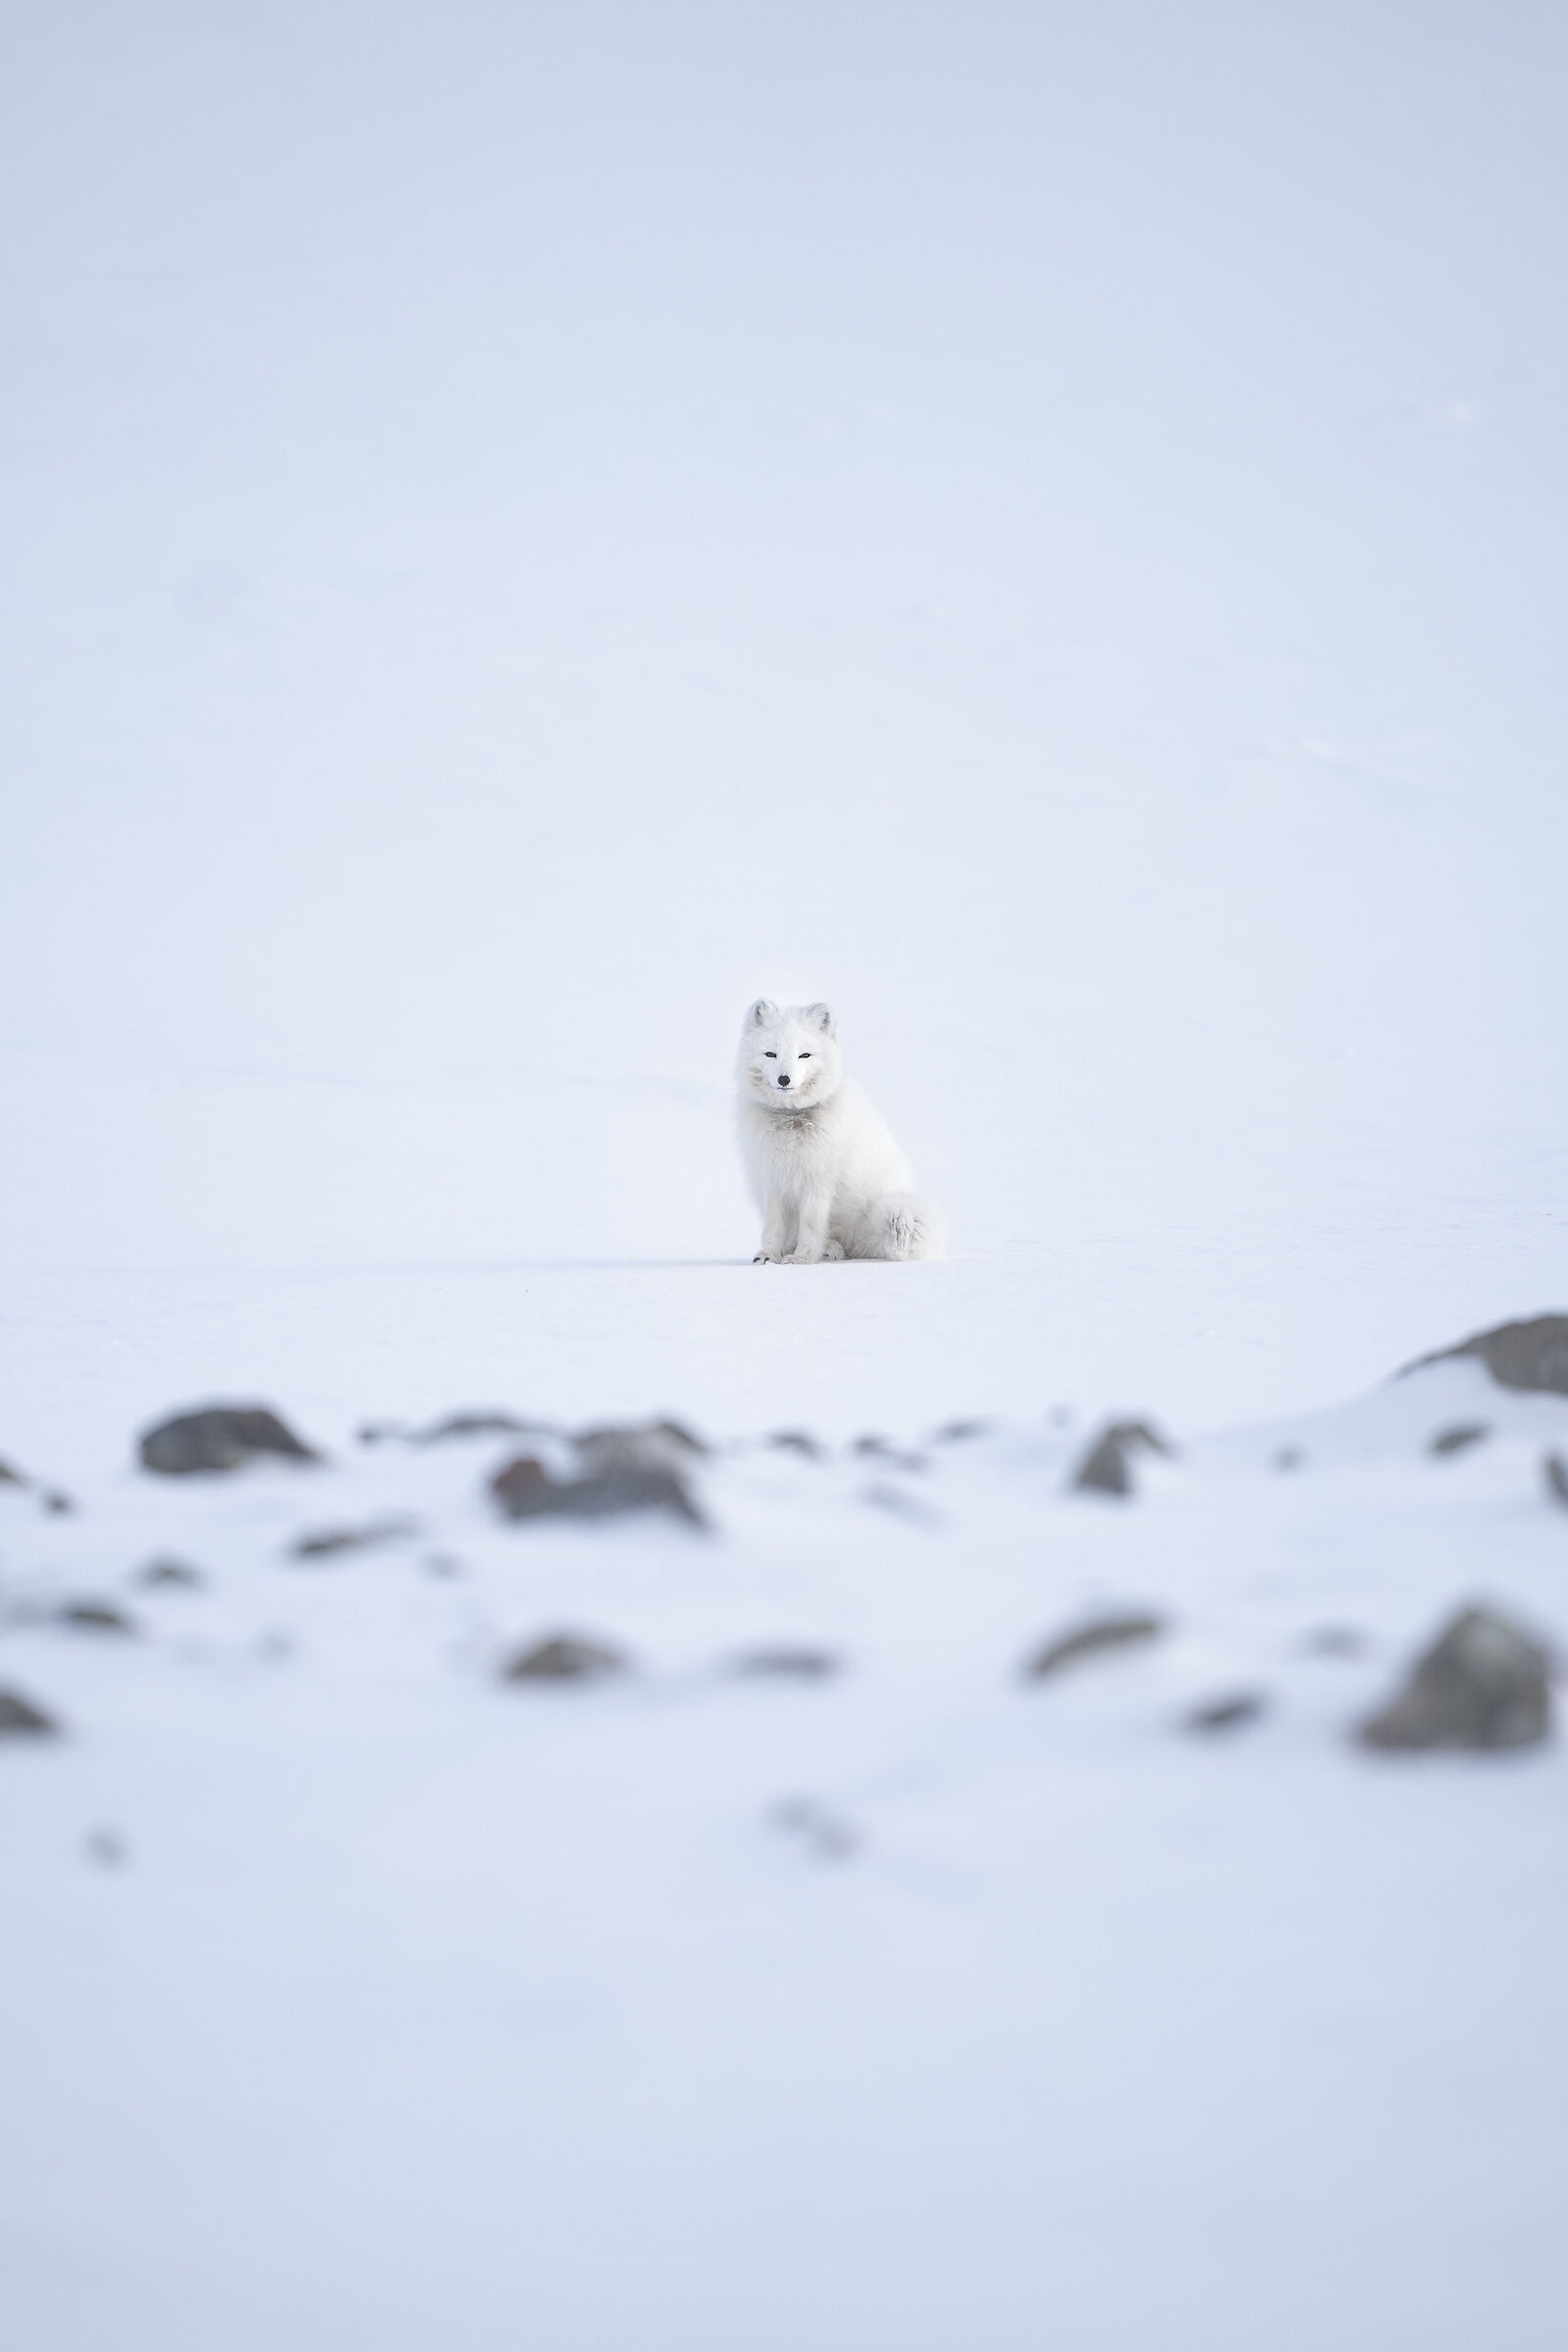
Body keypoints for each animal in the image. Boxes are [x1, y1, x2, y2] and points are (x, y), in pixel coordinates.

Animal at [735, 999, 945, 1264]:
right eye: (770, 1054)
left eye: (804, 1055)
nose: (784, 1079)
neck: (791, 1119)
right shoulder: (773, 1179)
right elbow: (773, 1226)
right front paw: (769, 1255)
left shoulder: (817, 1182)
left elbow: (811, 1225)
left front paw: (801, 1258)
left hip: (894, 1213)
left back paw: (828, 1250)